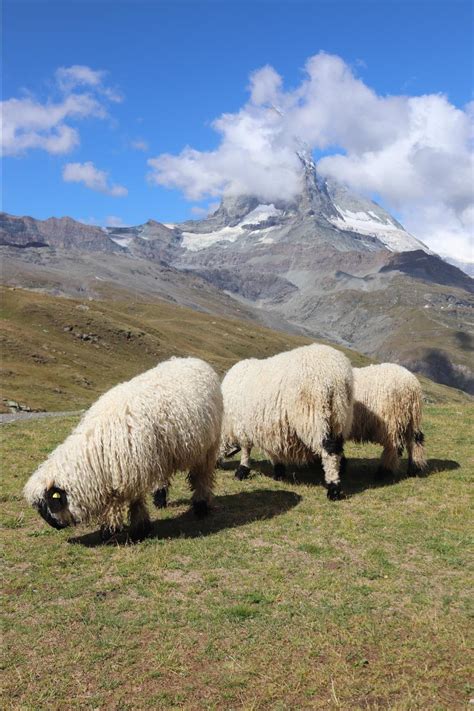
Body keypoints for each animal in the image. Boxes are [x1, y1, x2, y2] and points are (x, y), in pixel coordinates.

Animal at [25, 358, 225, 544]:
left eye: (51, 503)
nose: (55, 526)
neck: (98, 451)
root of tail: (194, 360)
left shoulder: (132, 473)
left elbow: (135, 503)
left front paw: (138, 530)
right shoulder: (117, 475)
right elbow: (113, 505)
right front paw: (109, 529)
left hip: (208, 446)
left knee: (202, 476)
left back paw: (200, 506)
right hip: (161, 453)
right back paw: (160, 496)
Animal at [220, 344, 354, 500]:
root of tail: (336, 374)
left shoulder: (242, 426)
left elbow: (246, 449)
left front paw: (242, 470)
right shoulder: (271, 428)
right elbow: (274, 450)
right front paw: (279, 471)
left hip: (315, 418)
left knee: (329, 451)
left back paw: (334, 488)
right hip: (340, 416)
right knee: (338, 446)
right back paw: (341, 469)